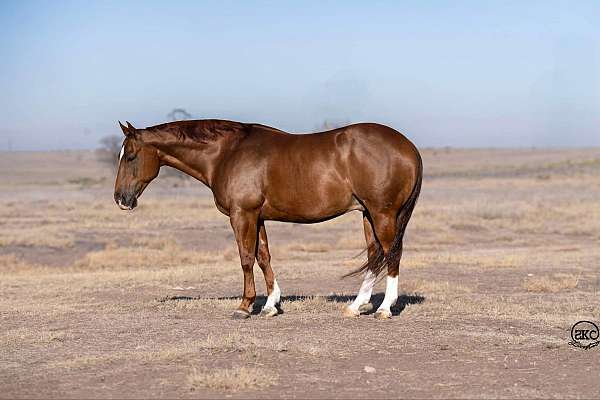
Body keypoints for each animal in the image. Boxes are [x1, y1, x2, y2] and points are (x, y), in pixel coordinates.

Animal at [113, 120, 422, 320]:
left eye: (130, 156)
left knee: (392, 254)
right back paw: (356, 306)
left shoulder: (242, 215)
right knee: (375, 256)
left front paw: (244, 306)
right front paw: (271, 305)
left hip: (382, 214)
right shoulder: (257, 217)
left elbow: (246, 258)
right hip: (368, 214)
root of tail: (410, 147)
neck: (227, 152)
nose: (120, 199)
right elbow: (263, 257)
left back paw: (384, 309)